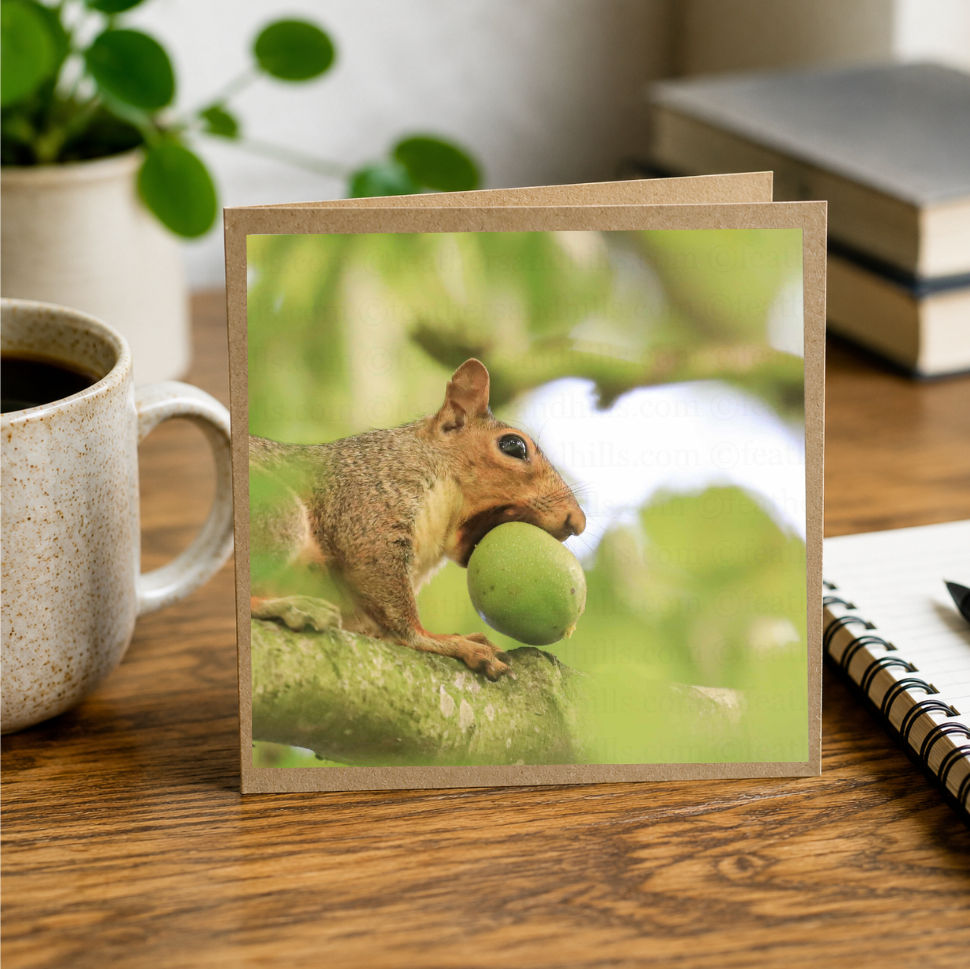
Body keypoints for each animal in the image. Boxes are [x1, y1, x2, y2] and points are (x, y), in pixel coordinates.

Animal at [249, 358, 585, 680]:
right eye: (513, 446)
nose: (578, 522)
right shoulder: (367, 499)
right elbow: (390, 596)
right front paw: (445, 640)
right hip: (278, 514)